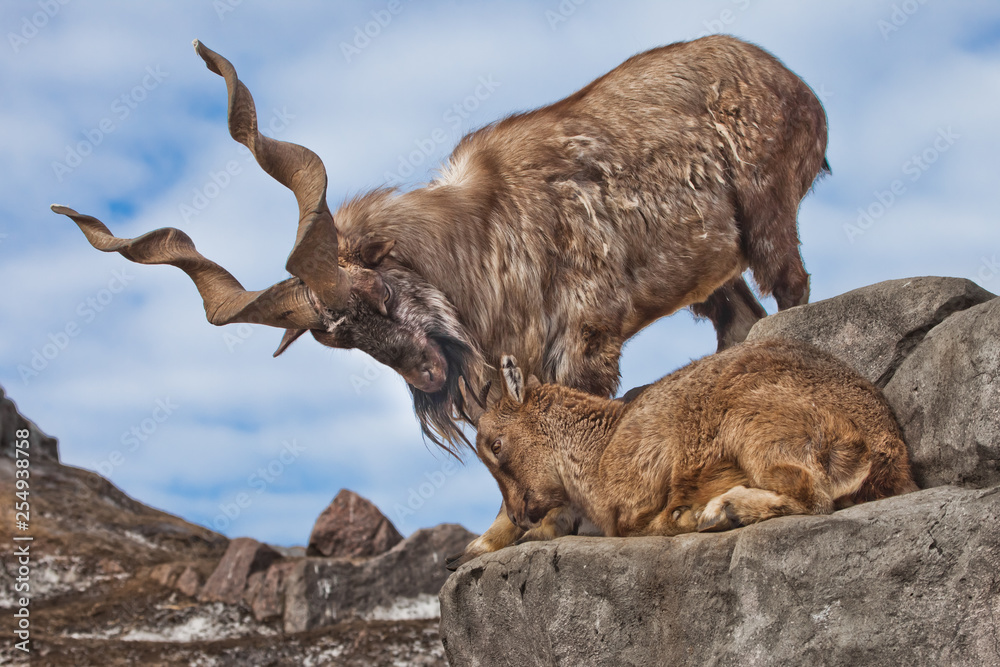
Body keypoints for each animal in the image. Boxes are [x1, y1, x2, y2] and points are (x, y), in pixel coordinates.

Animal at [53, 35, 828, 564]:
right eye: (337, 335)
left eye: (376, 288)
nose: (426, 374)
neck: (486, 230)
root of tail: (797, 86)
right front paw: (490, 540)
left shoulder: (583, 335)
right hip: (717, 278)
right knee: (740, 321)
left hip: (767, 216)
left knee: (792, 290)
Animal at [476, 338, 918, 541]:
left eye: (496, 446)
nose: (520, 515)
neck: (600, 447)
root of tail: (883, 448)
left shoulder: (636, 495)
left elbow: (645, 523)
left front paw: (685, 515)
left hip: (757, 427)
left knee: (812, 494)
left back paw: (724, 510)